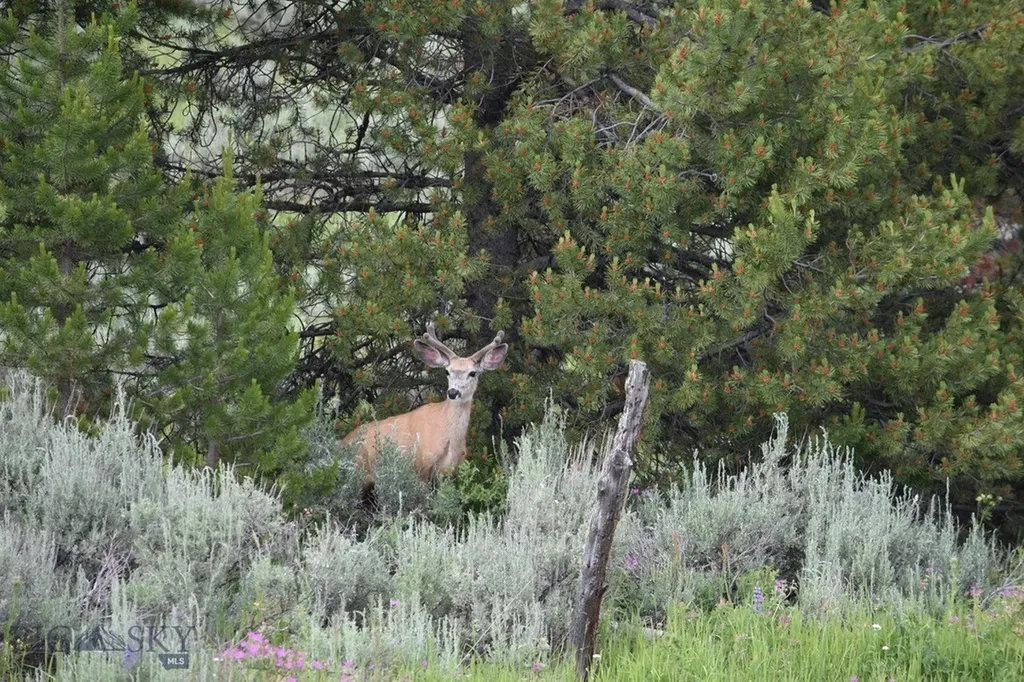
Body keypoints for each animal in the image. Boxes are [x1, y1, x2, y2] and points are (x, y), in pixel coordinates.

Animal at [340, 323, 509, 489]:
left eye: (472, 373)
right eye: (447, 372)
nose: (453, 392)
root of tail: (341, 442)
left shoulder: (449, 472)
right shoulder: (421, 466)